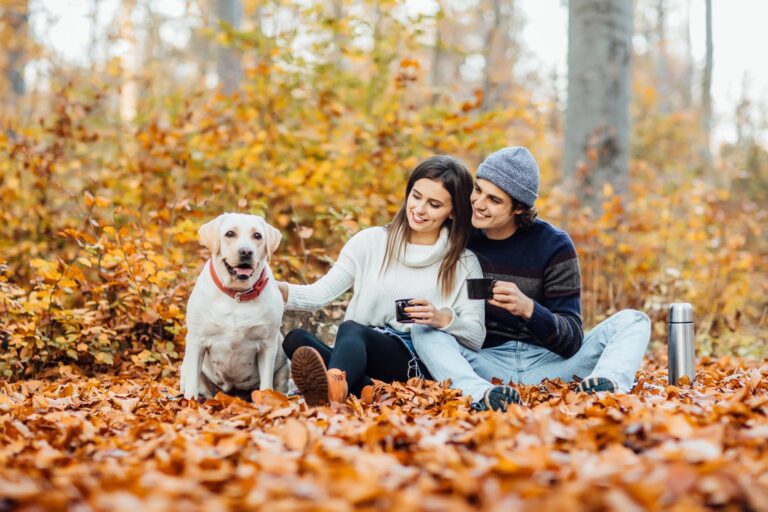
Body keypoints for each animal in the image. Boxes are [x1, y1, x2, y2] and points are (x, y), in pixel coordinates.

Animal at [180, 212, 292, 400]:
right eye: (230, 234)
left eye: (257, 236)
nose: (246, 251)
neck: (237, 295)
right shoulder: (196, 340)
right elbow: (192, 382)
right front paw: (190, 402)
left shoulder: (268, 344)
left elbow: (266, 383)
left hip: (283, 364)